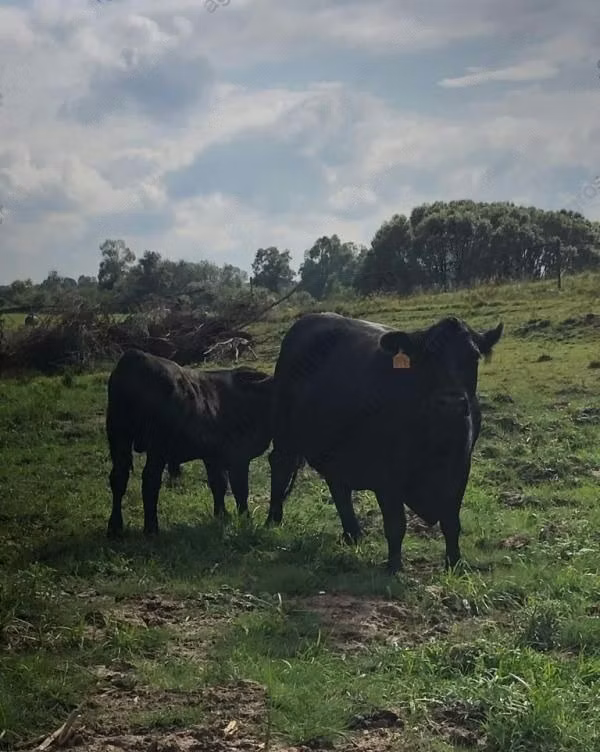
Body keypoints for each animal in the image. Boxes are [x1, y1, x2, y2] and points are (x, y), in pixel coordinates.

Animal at [106, 348, 273, 537]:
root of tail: (135, 357)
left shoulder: (213, 456)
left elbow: (219, 484)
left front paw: (222, 515)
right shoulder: (239, 457)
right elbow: (240, 489)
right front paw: (245, 519)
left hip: (119, 436)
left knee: (119, 477)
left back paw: (115, 527)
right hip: (157, 444)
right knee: (150, 480)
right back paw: (151, 528)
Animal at [264, 313, 503, 573]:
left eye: (474, 356)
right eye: (427, 357)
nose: (450, 404)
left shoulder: (460, 469)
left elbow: (451, 522)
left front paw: (455, 564)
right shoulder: (387, 476)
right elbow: (396, 525)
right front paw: (394, 567)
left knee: (338, 486)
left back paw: (353, 534)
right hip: (284, 432)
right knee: (280, 465)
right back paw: (272, 522)